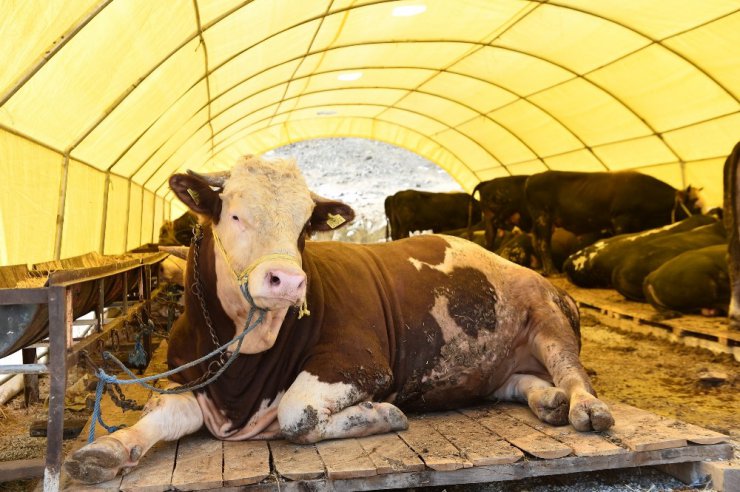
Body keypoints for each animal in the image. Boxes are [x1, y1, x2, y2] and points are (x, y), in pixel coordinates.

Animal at [65, 155, 612, 484]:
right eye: (235, 214)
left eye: (305, 226)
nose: (287, 280)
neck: (243, 369)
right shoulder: (193, 377)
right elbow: (157, 415)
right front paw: (107, 450)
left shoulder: (358, 363)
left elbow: (297, 412)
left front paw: (384, 414)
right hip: (495, 369)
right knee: (523, 382)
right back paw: (548, 402)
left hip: (546, 316)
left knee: (572, 372)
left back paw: (584, 408)